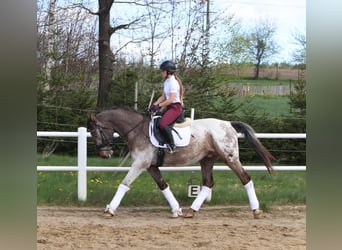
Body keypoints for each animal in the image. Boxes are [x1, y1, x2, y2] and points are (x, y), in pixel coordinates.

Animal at [87, 107, 276, 219]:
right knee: (208, 183)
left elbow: (124, 184)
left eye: (96, 132)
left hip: (229, 157)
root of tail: (228, 123)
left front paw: (109, 209)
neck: (137, 130)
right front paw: (176, 209)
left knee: (245, 178)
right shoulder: (151, 166)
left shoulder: (140, 164)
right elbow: (163, 185)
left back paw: (256, 210)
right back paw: (191, 211)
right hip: (207, 159)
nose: (105, 154)